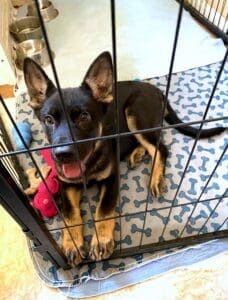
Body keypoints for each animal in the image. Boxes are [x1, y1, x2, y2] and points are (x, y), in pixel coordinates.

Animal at [22, 51, 225, 264]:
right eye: (48, 120)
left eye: (84, 117)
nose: (62, 155)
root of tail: (157, 90)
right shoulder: (66, 184)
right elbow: (70, 215)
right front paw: (73, 244)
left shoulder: (112, 178)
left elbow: (103, 209)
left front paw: (101, 241)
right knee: (149, 143)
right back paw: (137, 154)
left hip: (135, 113)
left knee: (160, 147)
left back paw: (155, 177)